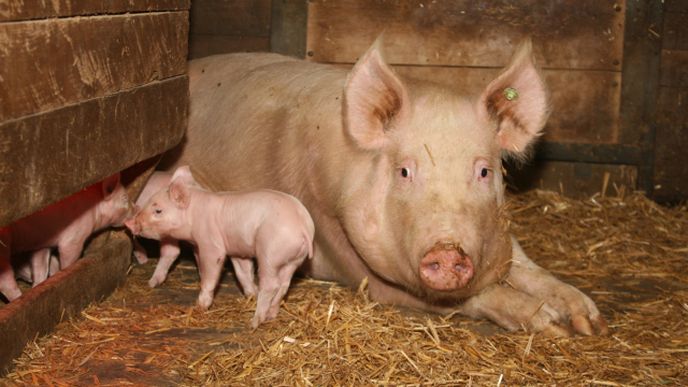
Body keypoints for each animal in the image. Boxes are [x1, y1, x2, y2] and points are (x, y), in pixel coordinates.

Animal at [0, 174, 131, 304]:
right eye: (124, 198)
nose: (135, 212)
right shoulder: (73, 239)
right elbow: (67, 262)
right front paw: (64, 276)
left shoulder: (42, 243)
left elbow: (41, 267)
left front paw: (38, 286)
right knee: (6, 282)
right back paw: (17, 299)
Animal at [126, 165, 314, 328]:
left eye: (158, 211)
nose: (129, 222)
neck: (193, 215)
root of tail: (303, 225)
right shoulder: (237, 249)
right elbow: (242, 272)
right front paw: (251, 294)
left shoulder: (211, 244)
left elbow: (210, 273)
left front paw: (200, 306)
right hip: (294, 259)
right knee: (284, 284)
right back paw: (270, 315)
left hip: (269, 252)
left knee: (271, 285)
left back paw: (254, 322)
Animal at [164, 39, 612, 336]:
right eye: (404, 171)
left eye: (484, 171)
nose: (447, 250)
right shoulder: (346, 256)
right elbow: (460, 298)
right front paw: (549, 324)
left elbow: (524, 264)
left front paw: (589, 322)